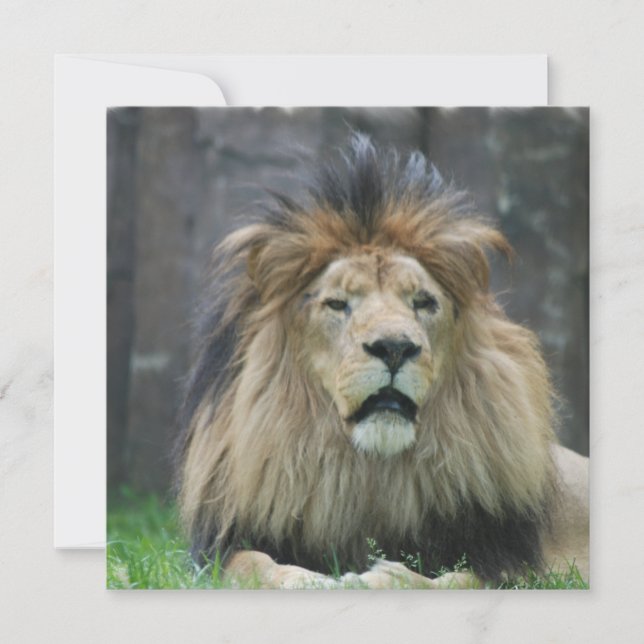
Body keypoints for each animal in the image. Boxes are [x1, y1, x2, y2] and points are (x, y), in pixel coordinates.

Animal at [177, 134, 589, 589]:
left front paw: (377, 578)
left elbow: (456, 580)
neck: (371, 473)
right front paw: (312, 581)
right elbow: (254, 563)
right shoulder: (221, 547)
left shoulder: (515, 563)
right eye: (337, 303)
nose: (394, 347)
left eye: (423, 302)